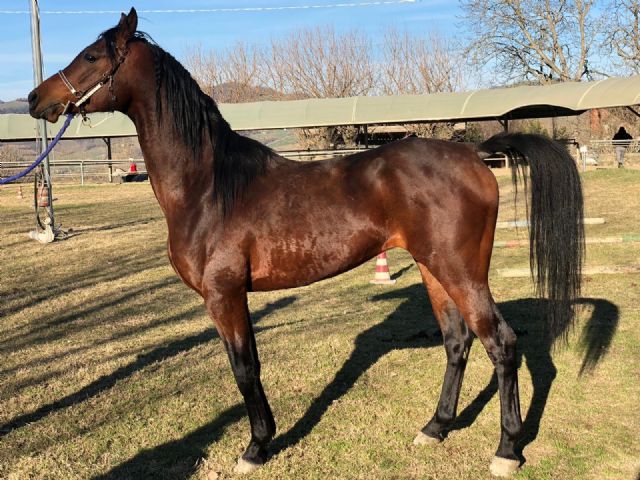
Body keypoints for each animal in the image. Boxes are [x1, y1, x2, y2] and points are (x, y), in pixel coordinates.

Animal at [26, 8, 584, 476]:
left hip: (462, 271)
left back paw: (507, 450)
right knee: (457, 342)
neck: (209, 186)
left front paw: (256, 447)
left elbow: (244, 368)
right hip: (433, 268)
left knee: (501, 344)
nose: (36, 99)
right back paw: (435, 429)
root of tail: (474, 154)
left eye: (92, 56)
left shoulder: (224, 296)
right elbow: (248, 365)